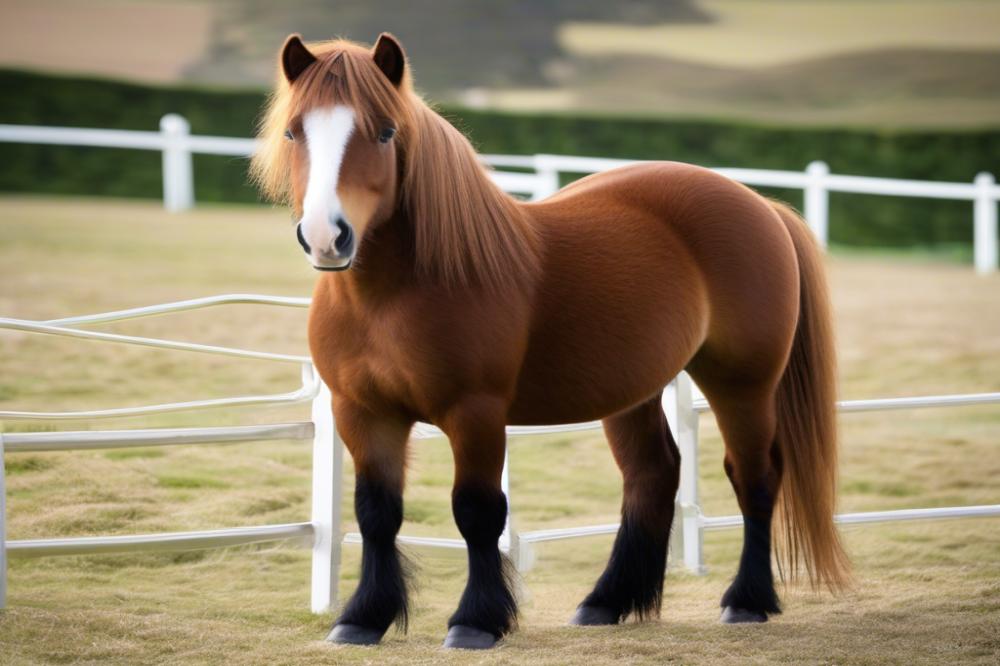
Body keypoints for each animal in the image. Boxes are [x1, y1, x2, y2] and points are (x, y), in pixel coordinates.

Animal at [252, 33, 852, 644]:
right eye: (293, 132)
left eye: (385, 132)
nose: (326, 236)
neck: (396, 295)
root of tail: (761, 205)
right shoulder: (363, 412)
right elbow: (376, 513)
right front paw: (362, 618)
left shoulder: (476, 413)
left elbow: (477, 513)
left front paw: (476, 622)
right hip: (633, 392)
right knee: (653, 476)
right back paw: (607, 602)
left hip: (743, 384)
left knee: (753, 476)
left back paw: (746, 601)